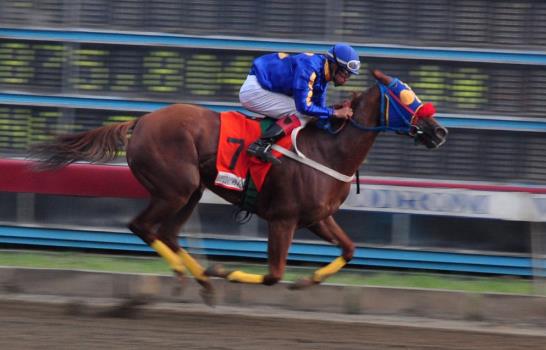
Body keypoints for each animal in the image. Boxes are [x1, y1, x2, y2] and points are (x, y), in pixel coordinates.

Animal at [29, 69, 444, 304]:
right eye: (405, 97)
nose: (439, 131)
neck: (329, 150)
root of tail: (142, 120)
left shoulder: (317, 218)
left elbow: (350, 249)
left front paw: (306, 281)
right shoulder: (283, 218)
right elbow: (273, 275)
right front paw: (226, 273)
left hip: (190, 190)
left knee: (168, 234)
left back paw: (201, 281)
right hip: (175, 187)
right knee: (143, 227)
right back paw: (192, 277)